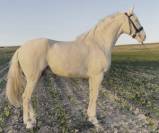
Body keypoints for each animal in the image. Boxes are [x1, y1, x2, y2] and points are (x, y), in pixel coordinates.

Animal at [5, 8, 145, 131]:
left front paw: (90, 117)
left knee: (28, 98)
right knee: (25, 97)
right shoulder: (98, 76)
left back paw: (32, 119)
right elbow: (95, 96)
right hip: (33, 78)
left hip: (35, 77)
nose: (144, 36)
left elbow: (91, 95)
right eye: (135, 19)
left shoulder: (92, 77)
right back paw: (28, 123)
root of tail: (21, 48)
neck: (99, 44)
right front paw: (95, 120)